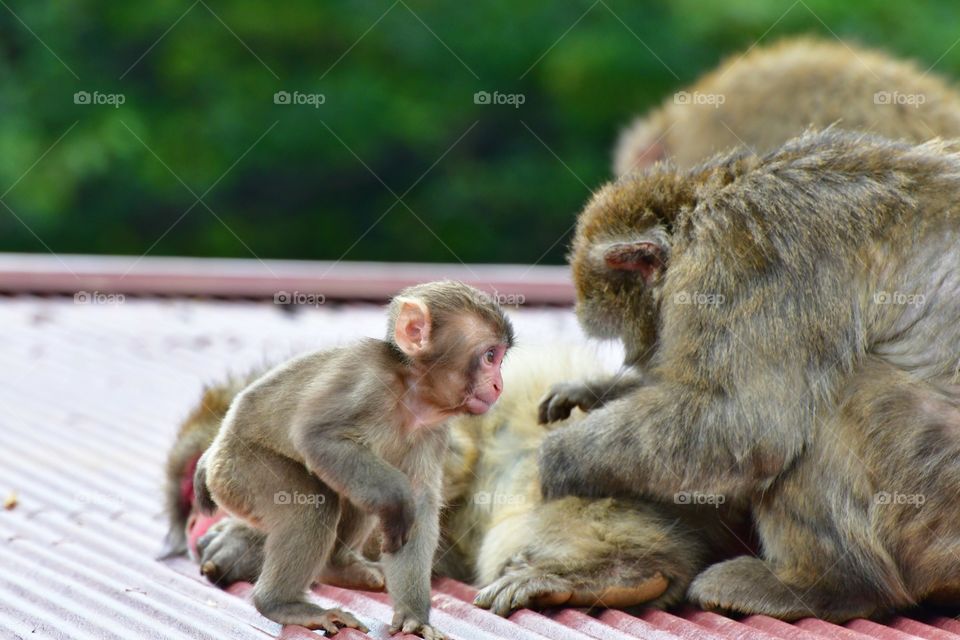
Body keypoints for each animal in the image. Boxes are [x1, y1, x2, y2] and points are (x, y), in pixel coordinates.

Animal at [193, 282, 510, 636]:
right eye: (489, 356)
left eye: (499, 358)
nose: (498, 384)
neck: (411, 391)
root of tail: (214, 454)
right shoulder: (367, 383)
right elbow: (315, 436)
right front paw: (399, 498)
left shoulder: (433, 432)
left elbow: (419, 502)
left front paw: (414, 617)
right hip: (238, 473)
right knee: (312, 503)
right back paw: (281, 604)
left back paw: (337, 568)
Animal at [540, 126, 960, 620]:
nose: (635, 355)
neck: (707, 205)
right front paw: (591, 390)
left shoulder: (747, 259)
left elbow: (743, 423)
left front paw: (560, 459)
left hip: (931, 505)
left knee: (835, 397)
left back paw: (832, 585)